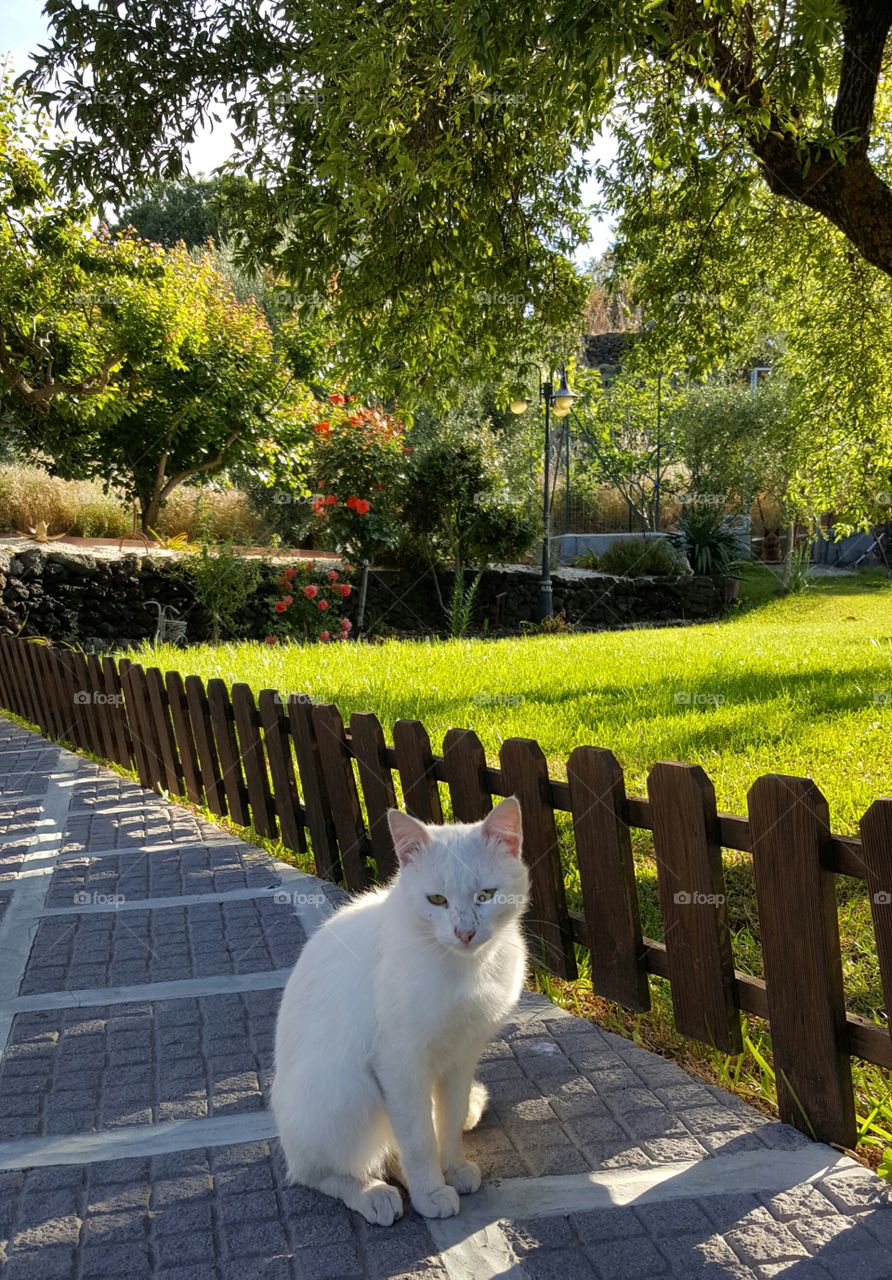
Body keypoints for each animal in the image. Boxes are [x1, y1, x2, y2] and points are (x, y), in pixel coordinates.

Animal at [271, 793, 529, 1223]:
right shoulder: (399, 1064)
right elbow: (419, 1138)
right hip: (347, 1091)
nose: (465, 932)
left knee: (394, 1147)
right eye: (437, 900)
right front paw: (431, 1192)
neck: (461, 969)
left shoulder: (462, 1054)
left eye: (485, 895)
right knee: (317, 1171)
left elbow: (449, 1118)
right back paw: (372, 1194)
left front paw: (452, 1167)